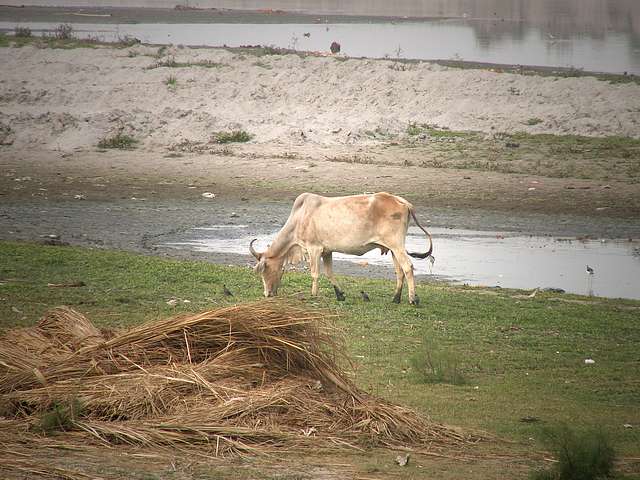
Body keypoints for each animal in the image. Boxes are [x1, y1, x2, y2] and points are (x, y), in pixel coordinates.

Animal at [248, 191, 432, 304]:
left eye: (265, 269)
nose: (267, 294)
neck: (300, 216)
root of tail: (403, 202)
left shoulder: (314, 249)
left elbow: (315, 273)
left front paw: (313, 294)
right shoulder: (327, 251)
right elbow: (330, 273)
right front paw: (340, 294)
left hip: (397, 245)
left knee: (408, 267)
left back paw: (412, 299)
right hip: (393, 249)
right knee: (399, 272)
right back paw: (395, 298)